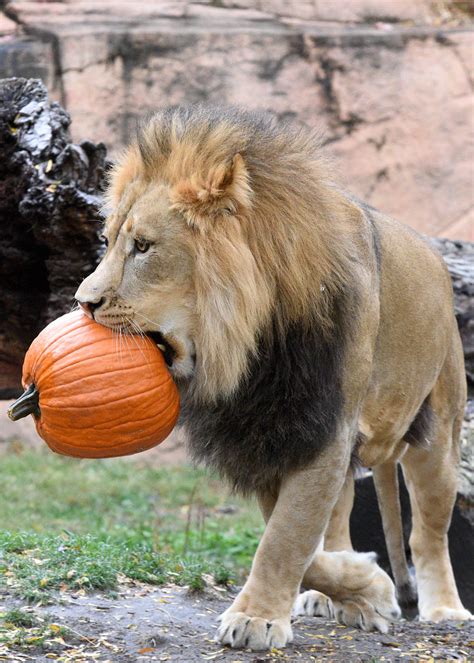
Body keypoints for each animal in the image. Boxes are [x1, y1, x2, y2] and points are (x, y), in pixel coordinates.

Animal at [74, 106, 470, 652]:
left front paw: (256, 619)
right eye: (108, 241)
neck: (251, 347)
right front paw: (366, 586)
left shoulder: (322, 426)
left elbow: (285, 537)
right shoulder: (268, 432)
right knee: (339, 520)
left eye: (144, 247)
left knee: (427, 533)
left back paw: (446, 609)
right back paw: (336, 596)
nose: (83, 302)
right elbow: (296, 539)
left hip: (438, 434)